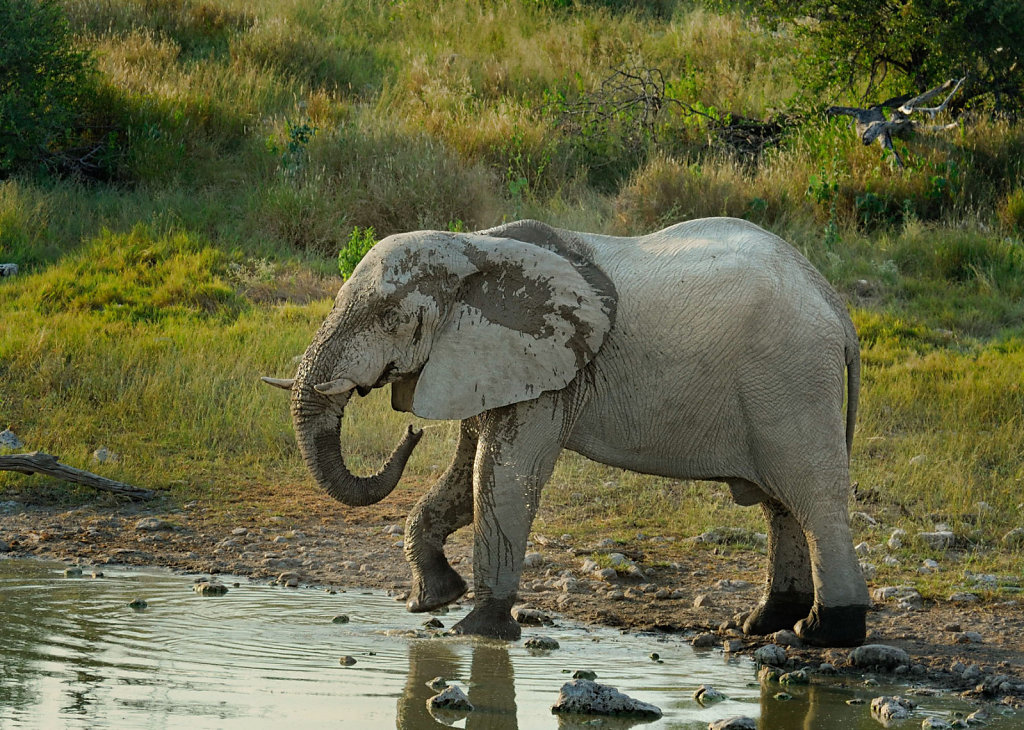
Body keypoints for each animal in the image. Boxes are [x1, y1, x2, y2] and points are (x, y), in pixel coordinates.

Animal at [264, 215, 872, 642]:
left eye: (390, 317)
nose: (409, 435)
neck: (472, 246)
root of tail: (836, 307)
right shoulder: (490, 358)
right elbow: (466, 477)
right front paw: (431, 600)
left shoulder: (551, 366)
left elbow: (501, 476)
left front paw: (477, 631)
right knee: (780, 505)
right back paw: (761, 625)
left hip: (792, 377)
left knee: (813, 499)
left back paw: (824, 634)